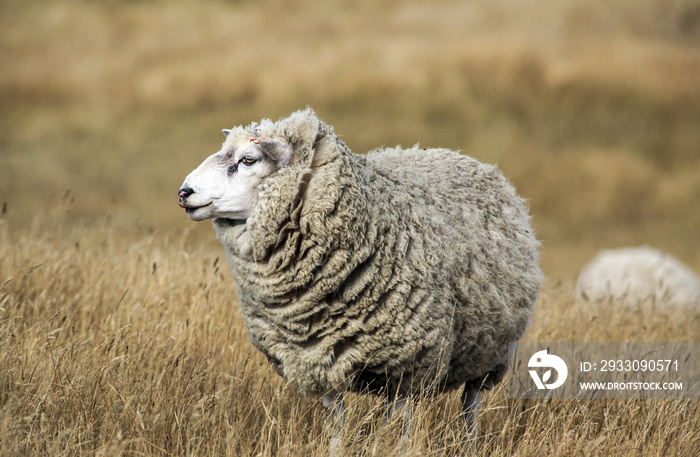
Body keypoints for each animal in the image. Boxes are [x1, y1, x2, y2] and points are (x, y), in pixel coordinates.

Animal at [178, 108, 544, 448]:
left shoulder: (406, 366)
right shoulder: (319, 361)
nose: (184, 192)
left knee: (470, 406)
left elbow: (401, 432)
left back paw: (469, 443)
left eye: (248, 159)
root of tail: (463, 156)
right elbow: (336, 426)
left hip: (486, 353)